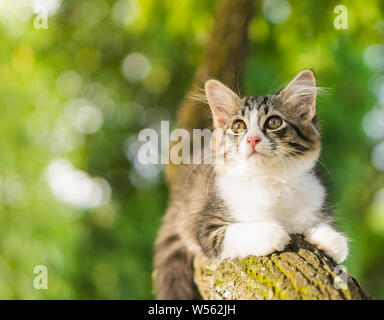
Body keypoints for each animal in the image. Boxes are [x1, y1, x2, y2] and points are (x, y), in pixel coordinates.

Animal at [153, 70, 348, 300]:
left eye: (274, 122)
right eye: (238, 126)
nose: (252, 139)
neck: (268, 180)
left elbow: (333, 236)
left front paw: (328, 238)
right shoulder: (206, 226)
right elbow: (236, 232)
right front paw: (273, 233)